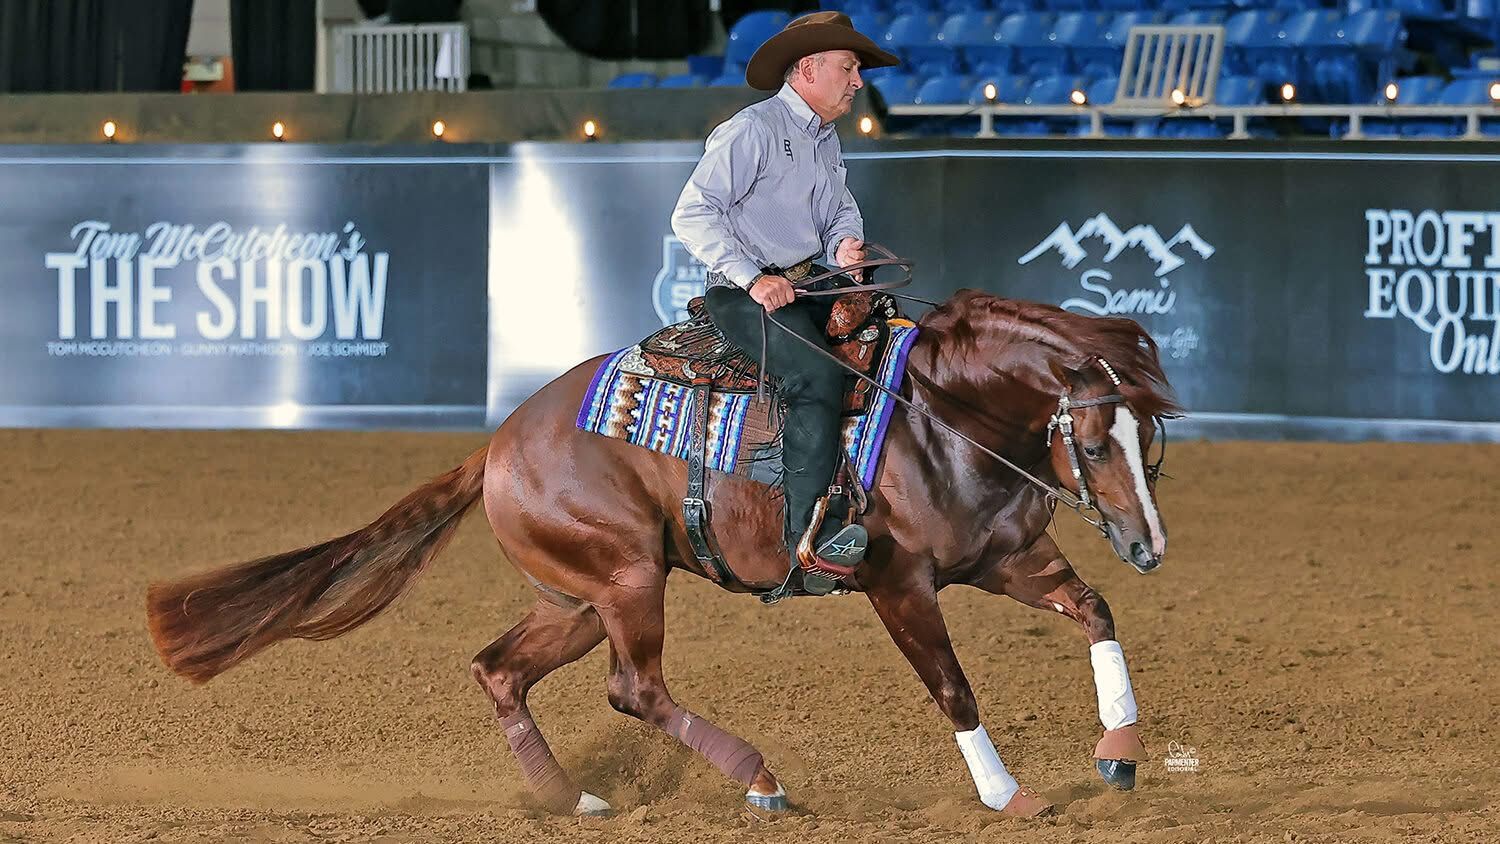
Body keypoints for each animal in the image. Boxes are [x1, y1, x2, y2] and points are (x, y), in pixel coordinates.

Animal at [146, 288, 1182, 820]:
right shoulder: (898, 585)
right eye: (1095, 444)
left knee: (499, 671)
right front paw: (1007, 794)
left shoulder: (1008, 561)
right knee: (633, 688)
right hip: (628, 578)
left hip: (574, 601)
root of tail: (499, 445)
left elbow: (1095, 612)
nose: (1147, 545)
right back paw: (761, 780)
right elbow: (953, 687)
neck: (939, 416)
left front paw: (1120, 755)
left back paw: (571, 801)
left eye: (1152, 438)